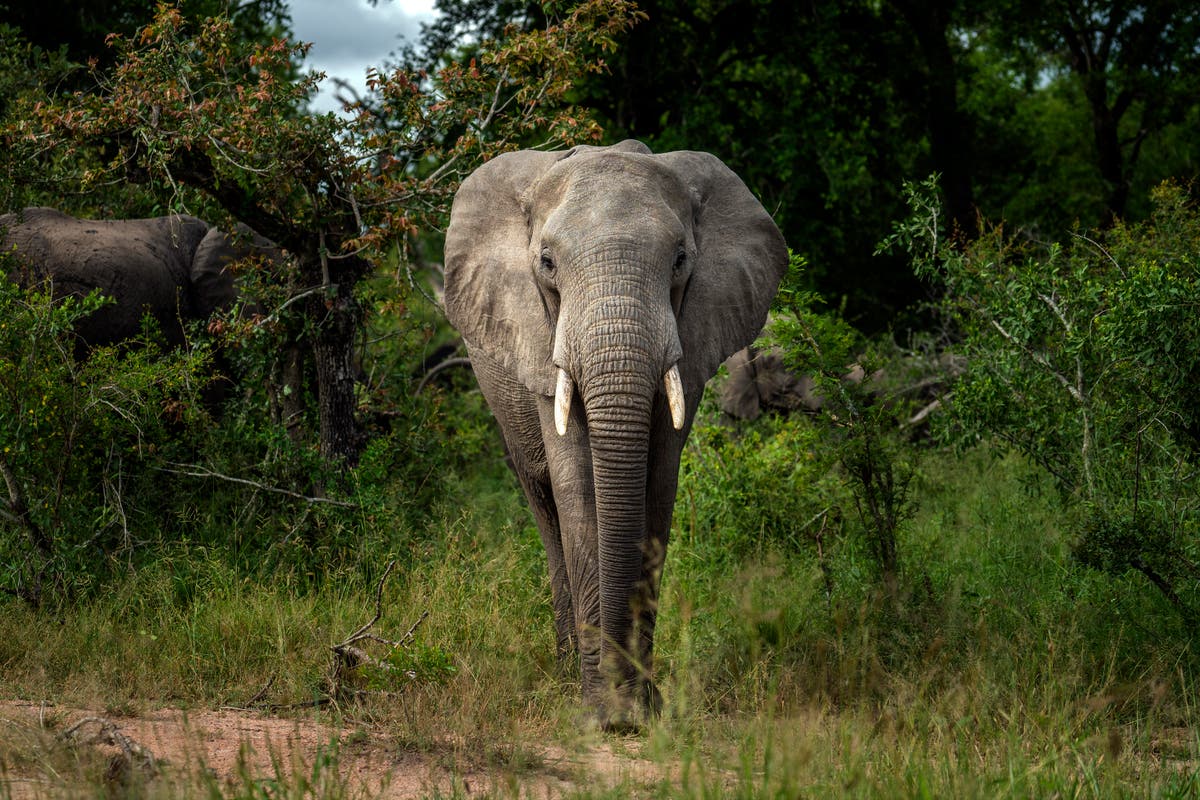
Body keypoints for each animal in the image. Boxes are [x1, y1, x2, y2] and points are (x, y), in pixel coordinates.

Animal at [441, 140, 787, 729]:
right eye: (547, 263)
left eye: (680, 260)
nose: (620, 709)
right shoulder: (539, 339)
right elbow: (577, 487)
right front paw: (600, 711)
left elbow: (657, 487)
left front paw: (641, 709)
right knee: (545, 509)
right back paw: (563, 675)